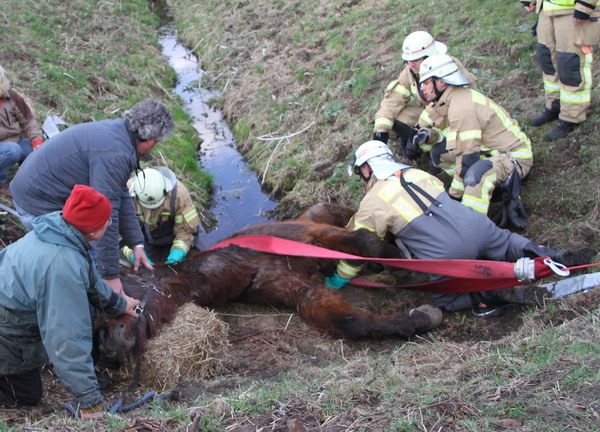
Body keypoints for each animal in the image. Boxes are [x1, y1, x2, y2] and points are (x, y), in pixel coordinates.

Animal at [94, 202, 440, 368]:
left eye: (120, 290)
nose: (106, 353)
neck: (244, 263)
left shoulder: (314, 236)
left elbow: (366, 241)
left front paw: (405, 265)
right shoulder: (303, 292)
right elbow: (351, 322)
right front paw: (418, 318)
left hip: (325, 215)